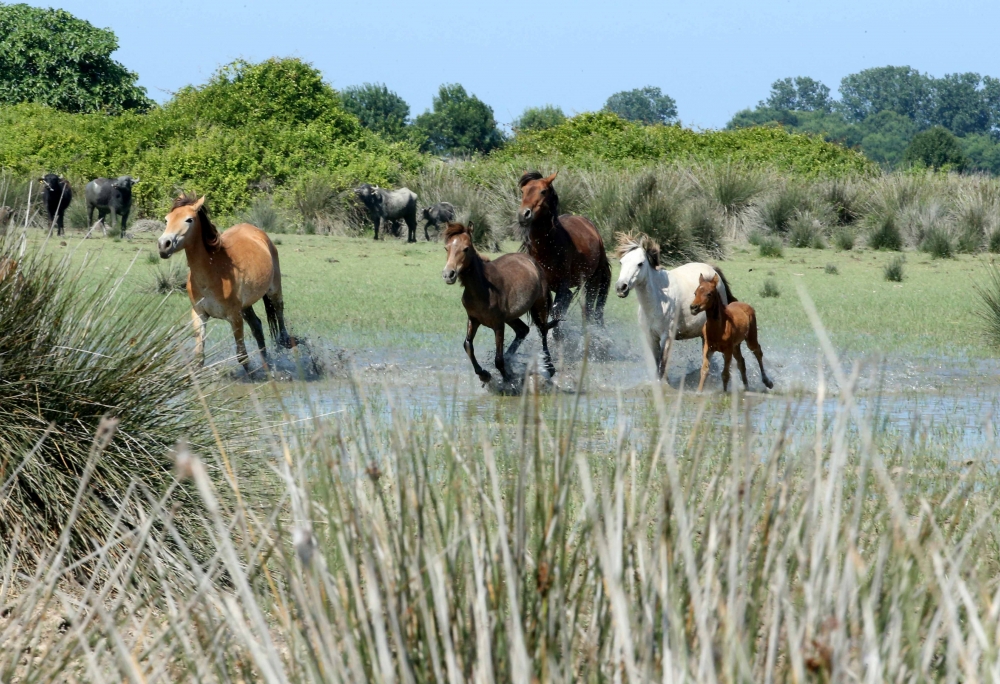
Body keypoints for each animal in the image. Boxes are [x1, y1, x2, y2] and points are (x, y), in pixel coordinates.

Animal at [154, 194, 292, 380]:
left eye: (189, 219)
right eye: (167, 219)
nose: (164, 245)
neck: (213, 274)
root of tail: (259, 233)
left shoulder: (234, 317)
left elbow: (242, 356)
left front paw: (253, 379)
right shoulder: (199, 314)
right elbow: (199, 357)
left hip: (273, 290)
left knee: (279, 311)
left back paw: (284, 341)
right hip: (245, 307)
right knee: (257, 326)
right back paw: (267, 364)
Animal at [444, 222, 560, 382]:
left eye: (466, 248)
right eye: (446, 248)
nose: (448, 274)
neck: (483, 289)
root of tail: (533, 263)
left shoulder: (498, 325)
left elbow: (498, 359)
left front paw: (509, 380)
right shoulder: (473, 319)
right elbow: (467, 344)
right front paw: (484, 374)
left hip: (539, 306)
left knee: (542, 331)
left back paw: (549, 367)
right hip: (511, 317)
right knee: (523, 330)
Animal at [520, 170, 612, 326]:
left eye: (543, 191)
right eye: (522, 191)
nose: (523, 215)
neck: (548, 246)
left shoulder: (563, 284)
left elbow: (557, 314)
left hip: (593, 281)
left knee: (589, 311)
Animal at [612, 231, 740, 380]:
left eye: (640, 264)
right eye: (621, 262)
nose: (621, 287)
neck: (658, 302)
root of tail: (713, 271)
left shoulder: (667, 337)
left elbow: (662, 367)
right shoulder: (651, 338)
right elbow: (657, 366)